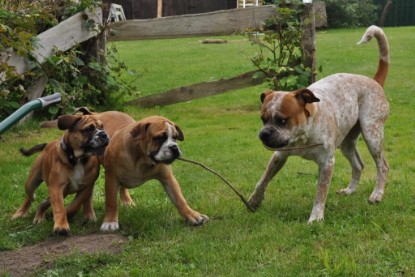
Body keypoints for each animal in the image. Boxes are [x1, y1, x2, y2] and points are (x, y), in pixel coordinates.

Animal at [249, 25, 392, 223]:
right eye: (263, 119)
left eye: (282, 120)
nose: (263, 134)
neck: (302, 137)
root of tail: (374, 81)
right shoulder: (279, 156)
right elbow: (262, 180)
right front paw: (254, 200)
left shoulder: (327, 163)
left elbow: (320, 193)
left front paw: (316, 217)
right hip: (347, 143)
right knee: (358, 165)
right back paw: (350, 190)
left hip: (372, 136)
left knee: (382, 166)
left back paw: (377, 194)